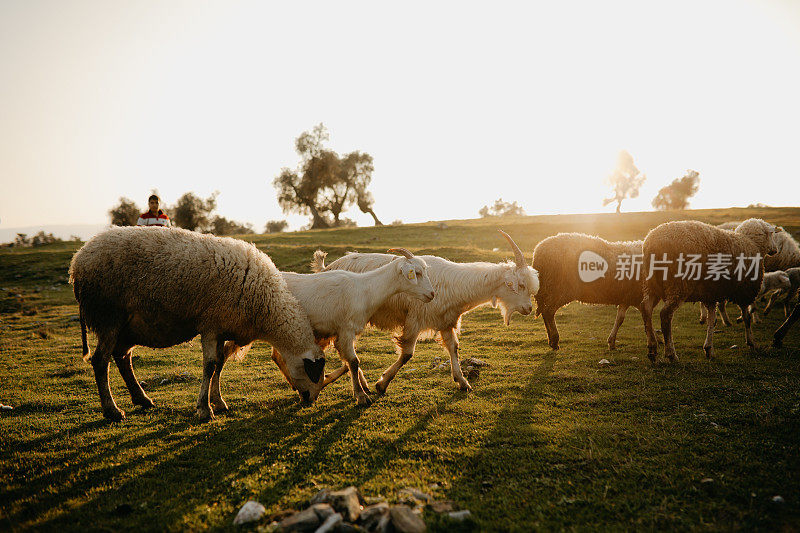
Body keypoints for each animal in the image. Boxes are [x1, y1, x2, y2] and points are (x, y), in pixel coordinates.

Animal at [69, 224, 328, 420]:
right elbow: (210, 366)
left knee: (122, 357)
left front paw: (218, 401)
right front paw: (205, 409)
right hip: (108, 317)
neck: (265, 305)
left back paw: (142, 399)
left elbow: (220, 364)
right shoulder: (210, 326)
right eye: (315, 373)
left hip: (131, 325)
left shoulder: (223, 327)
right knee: (101, 360)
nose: (310, 400)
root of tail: (78, 260)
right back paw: (112, 411)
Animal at [276, 247, 438, 406]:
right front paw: (361, 396)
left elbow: (348, 360)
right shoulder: (346, 330)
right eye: (417, 273)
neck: (364, 289)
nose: (432, 294)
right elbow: (353, 362)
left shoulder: (343, 332)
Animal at [312, 231, 536, 392]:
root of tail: (327, 268)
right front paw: (382, 383)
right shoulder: (415, 319)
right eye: (521, 285)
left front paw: (462, 381)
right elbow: (407, 354)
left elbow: (453, 348)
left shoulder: (446, 321)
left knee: (345, 352)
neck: (455, 284)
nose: (528, 308)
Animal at [640, 217, 780, 362]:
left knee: (646, 309)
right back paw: (671, 354)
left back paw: (652, 349)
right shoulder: (745, 291)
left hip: (651, 284)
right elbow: (746, 318)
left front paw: (709, 349)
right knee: (665, 315)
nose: (775, 250)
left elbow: (712, 320)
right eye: (772, 234)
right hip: (678, 285)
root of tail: (651, 243)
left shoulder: (711, 294)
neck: (752, 243)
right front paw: (751, 342)